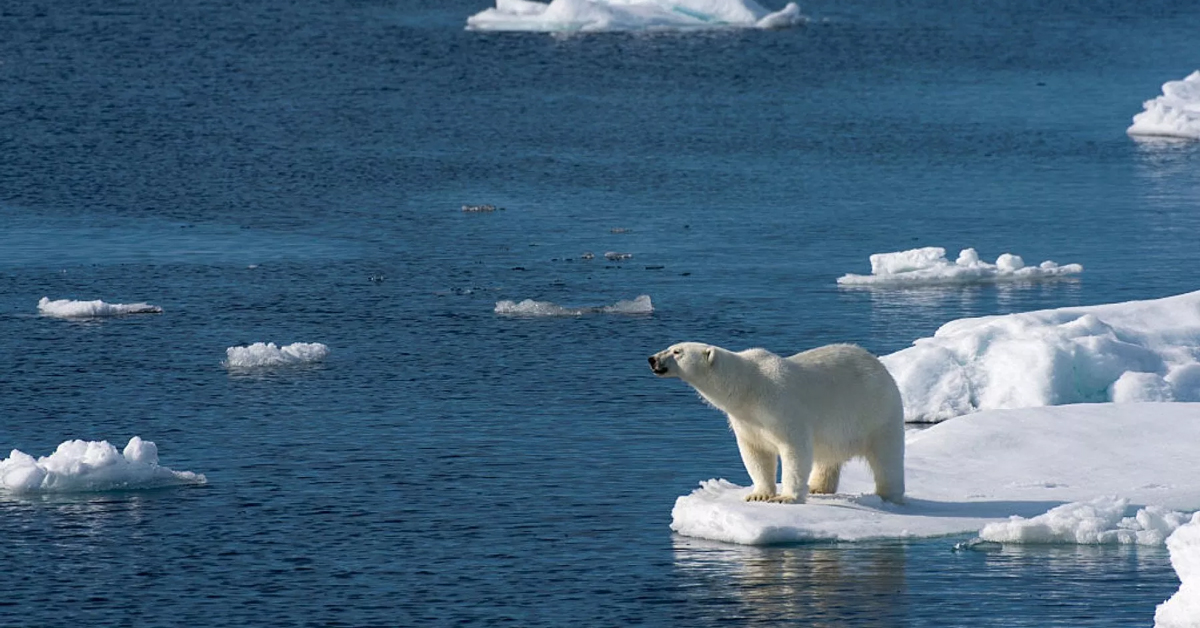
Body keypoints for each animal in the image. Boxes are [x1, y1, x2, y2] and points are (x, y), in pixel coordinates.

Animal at [649, 342, 905, 504]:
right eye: (671, 346)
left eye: (677, 351)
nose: (652, 359)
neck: (749, 388)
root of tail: (880, 366)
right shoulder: (747, 420)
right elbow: (756, 453)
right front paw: (759, 495)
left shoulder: (781, 407)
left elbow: (795, 450)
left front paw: (786, 497)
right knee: (827, 458)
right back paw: (817, 487)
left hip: (877, 412)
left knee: (887, 457)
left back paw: (888, 495)